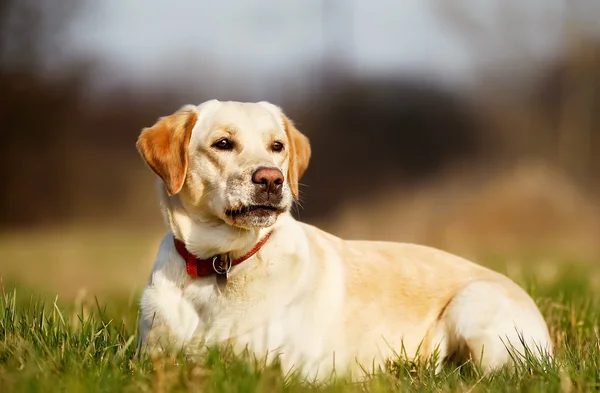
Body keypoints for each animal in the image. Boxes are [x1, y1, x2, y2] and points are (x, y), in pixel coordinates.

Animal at [136, 99, 552, 380]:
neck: (220, 262)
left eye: (277, 146)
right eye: (223, 143)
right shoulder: (153, 355)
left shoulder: (283, 366)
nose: (272, 179)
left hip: (473, 307)